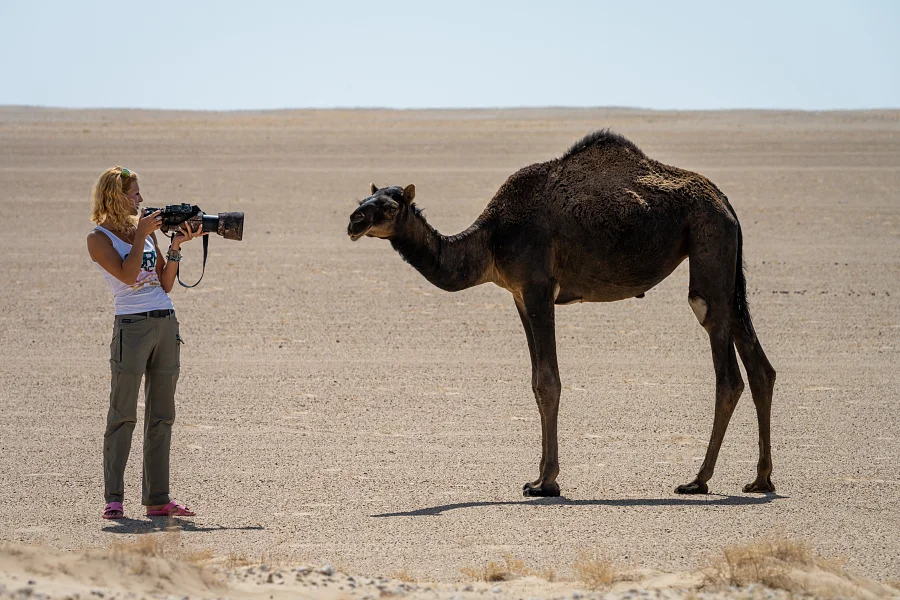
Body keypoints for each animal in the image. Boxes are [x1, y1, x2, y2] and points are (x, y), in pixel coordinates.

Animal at [348, 131, 776, 496]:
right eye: (361, 202)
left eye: (389, 206)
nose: (354, 222)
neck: (490, 239)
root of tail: (724, 200)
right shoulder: (519, 296)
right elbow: (536, 381)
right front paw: (538, 477)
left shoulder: (538, 287)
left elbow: (548, 382)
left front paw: (547, 482)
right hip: (724, 261)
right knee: (758, 365)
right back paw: (760, 479)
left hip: (708, 240)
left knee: (724, 364)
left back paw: (698, 480)